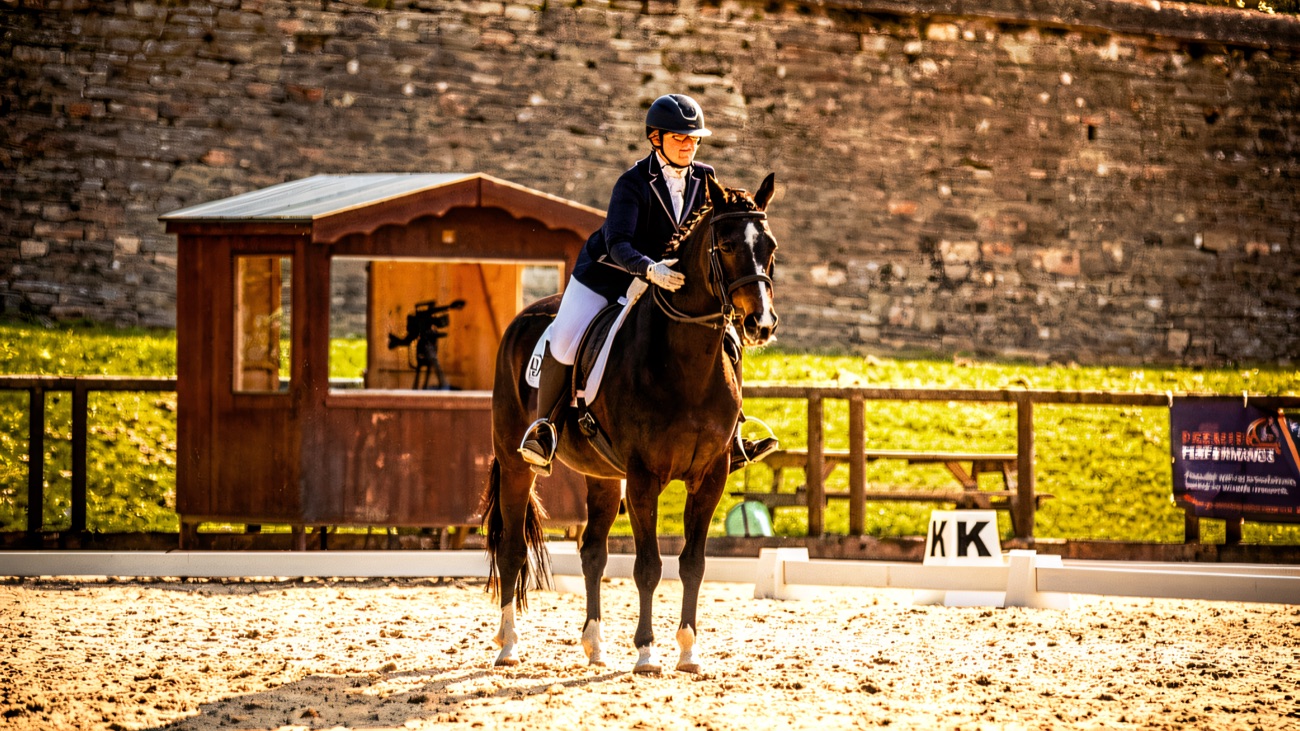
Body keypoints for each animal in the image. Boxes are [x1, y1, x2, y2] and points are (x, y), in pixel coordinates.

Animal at [480, 172, 779, 674]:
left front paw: (689, 651)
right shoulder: (643, 477)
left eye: (770, 247)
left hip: (603, 476)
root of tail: (523, 318)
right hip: (517, 462)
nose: (761, 324)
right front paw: (646, 653)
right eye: (727, 245)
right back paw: (508, 645)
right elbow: (648, 566)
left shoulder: (711, 475)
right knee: (513, 550)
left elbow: (693, 564)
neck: (687, 363)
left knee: (592, 554)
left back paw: (594, 646)